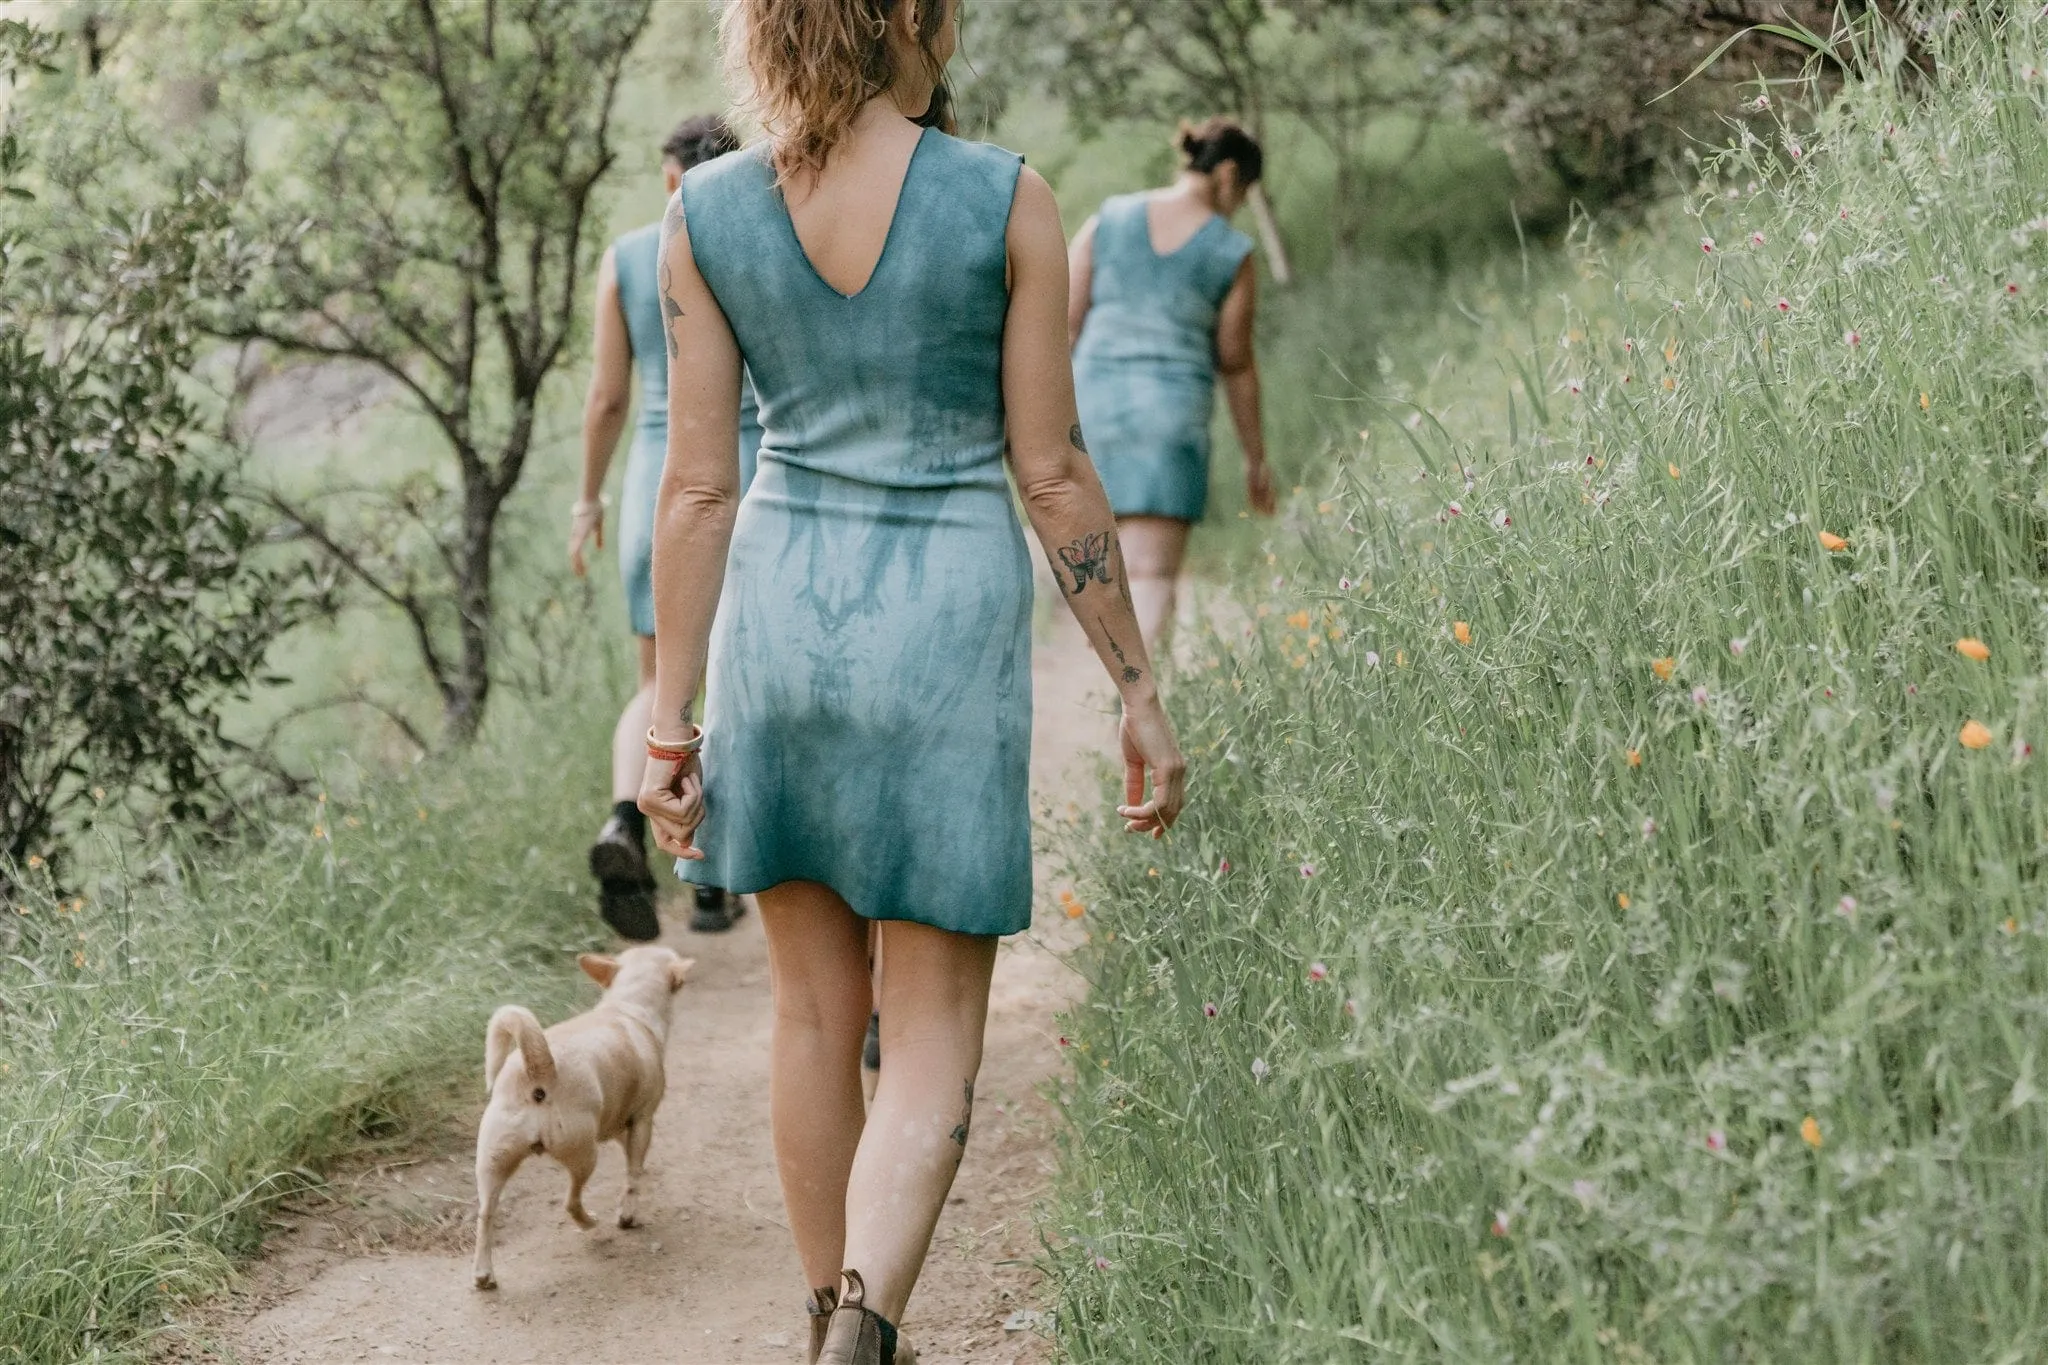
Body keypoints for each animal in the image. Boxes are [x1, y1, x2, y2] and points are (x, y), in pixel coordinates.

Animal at [471, 949, 696, 1293]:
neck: (628, 1006)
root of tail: (540, 1067)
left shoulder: (618, 1124)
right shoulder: (642, 1122)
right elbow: (633, 1175)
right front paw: (627, 1215)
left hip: (492, 1162)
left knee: (485, 1215)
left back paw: (484, 1275)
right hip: (584, 1154)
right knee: (571, 1202)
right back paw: (591, 1222)